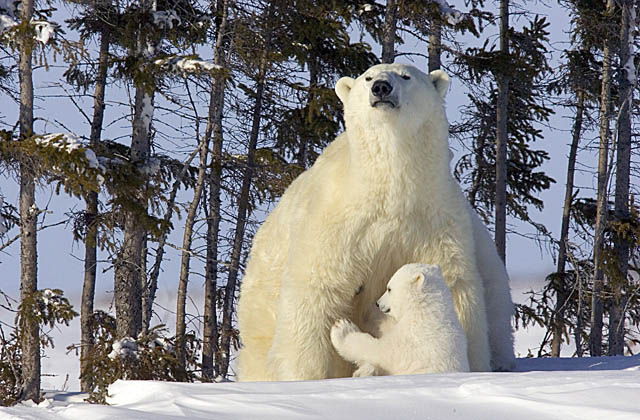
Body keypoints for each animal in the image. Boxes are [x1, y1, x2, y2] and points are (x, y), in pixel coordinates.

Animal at [238, 63, 516, 380]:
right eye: (368, 77)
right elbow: (316, 288)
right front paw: (303, 376)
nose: (381, 88)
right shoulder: (337, 223)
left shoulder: (436, 219)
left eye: (406, 76)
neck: (390, 191)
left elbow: (455, 284)